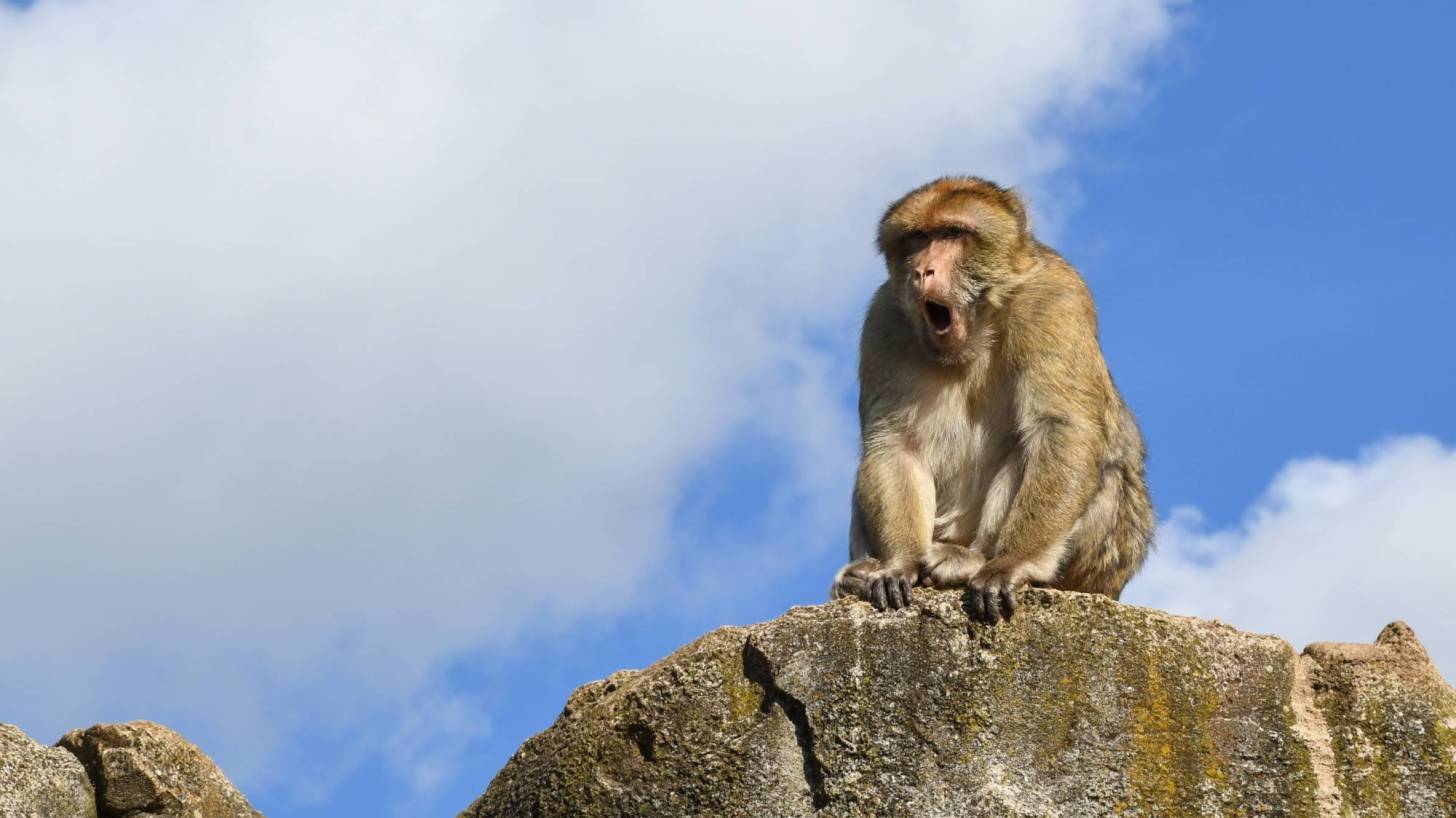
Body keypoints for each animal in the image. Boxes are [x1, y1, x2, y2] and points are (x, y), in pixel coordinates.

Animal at [838, 176, 1153, 617]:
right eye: (918, 239)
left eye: (952, 234)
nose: (921, 271)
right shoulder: (883, 321)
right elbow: (895, 443)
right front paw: (899, 564)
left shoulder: (1056, 300)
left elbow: (1061, 428)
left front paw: (1012, 563)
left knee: (1032, 447)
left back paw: (974, 559)